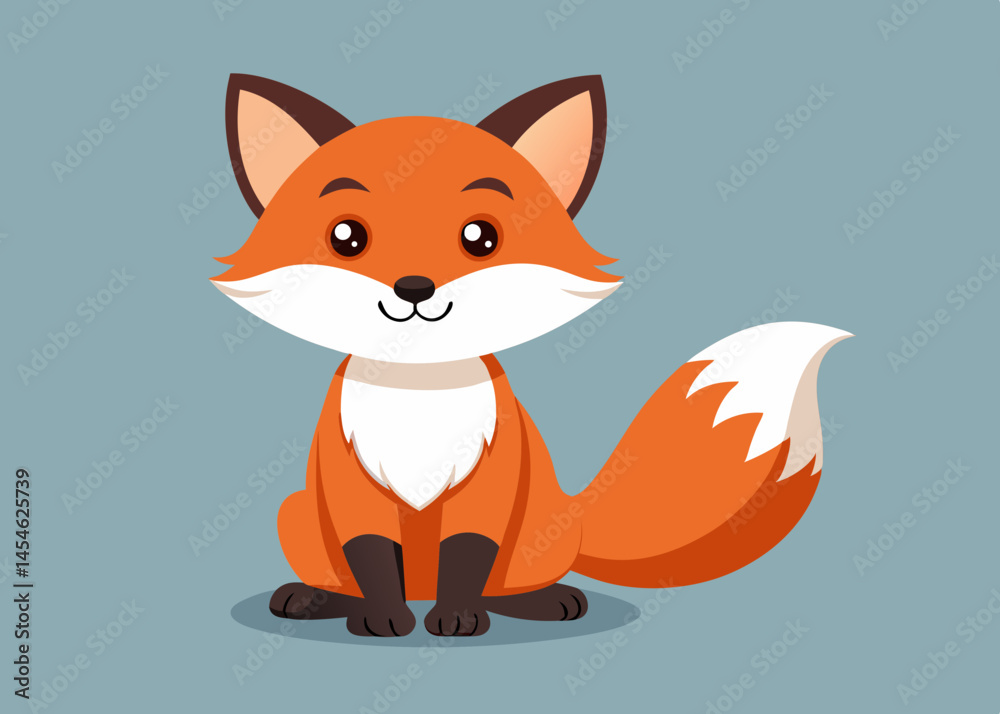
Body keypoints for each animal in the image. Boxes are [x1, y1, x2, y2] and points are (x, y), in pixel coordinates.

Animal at [212, 73, 850, 637]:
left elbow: (469, 552)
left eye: (481, 238)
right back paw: (312, 600)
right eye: (346, 237)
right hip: (295, 513)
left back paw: (543, 602)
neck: (420, 393)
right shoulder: (349, 486)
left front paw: (458, 619)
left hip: (542, 530)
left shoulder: (494, 481)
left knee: (512, 585)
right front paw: (382, 618)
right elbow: (370, 555)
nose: (414, 289)